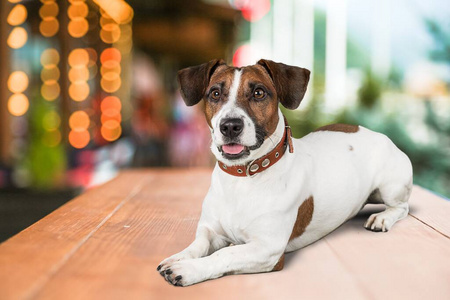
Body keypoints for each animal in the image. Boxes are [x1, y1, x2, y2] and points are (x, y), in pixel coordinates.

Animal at [156, 59, 414, 288]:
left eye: (259, 93)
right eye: (215, 93)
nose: (229, 126)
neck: (242, 178)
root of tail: (376, 133)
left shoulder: (268, 250)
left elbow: (224, 255)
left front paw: (188, 269)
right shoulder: (211, 231)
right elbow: (198, 245)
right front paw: (179, 257)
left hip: (391, 186)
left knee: (402, 208)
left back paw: (382, 218)